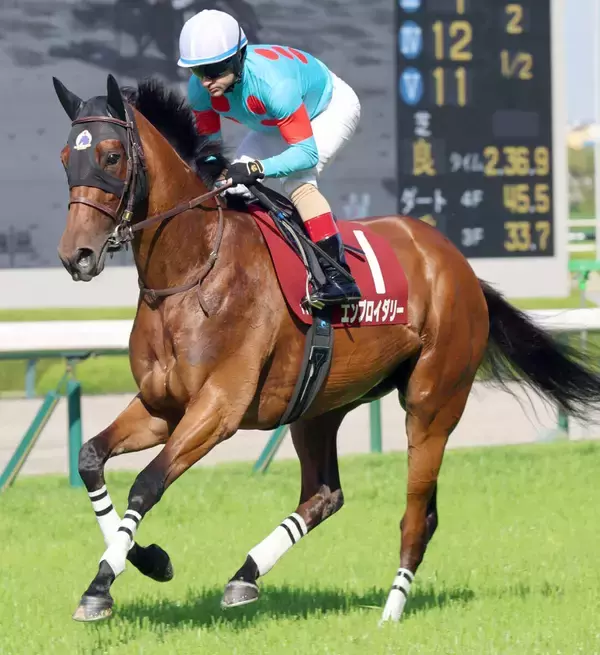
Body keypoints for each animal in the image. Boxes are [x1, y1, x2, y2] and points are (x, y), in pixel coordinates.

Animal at [52, 73, 600, 623]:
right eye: (64, 156)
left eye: (110, 156)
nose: (76, 255)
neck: (192, 270)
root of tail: (459, 265)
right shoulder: (161, 406)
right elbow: (90, 457)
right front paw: (134, 565)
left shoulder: (218, 408)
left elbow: (147, 482)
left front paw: (109, 580)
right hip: (318, 406)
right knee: (324, 494)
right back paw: (245, 577)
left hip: (432, 405)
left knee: (416, 515)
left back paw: (390, 611)